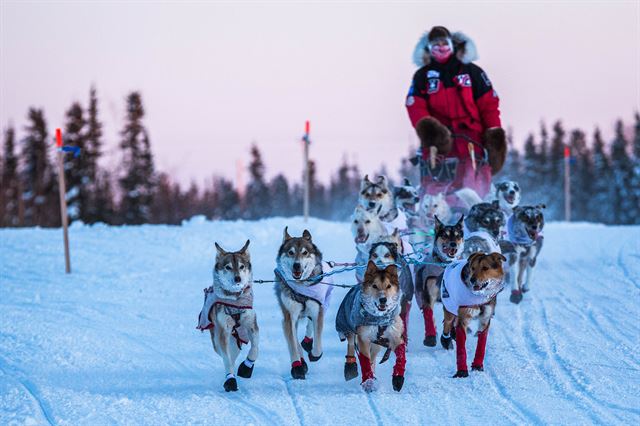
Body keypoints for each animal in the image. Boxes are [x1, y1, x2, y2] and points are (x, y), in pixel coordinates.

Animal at [276, 226, 336, 380]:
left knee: (310, 324)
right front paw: (297, 366)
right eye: (290, 252)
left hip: (323, 305)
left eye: (305, 252)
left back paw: (308, 342)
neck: (301, 285)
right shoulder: (289, 316)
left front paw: (314, 354)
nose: (297, 265)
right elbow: (293, 343)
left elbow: (318, 341)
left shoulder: (317, 310)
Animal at [336, 262, 404, 392]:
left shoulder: (395, 335)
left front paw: (398, 378)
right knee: (351, 344)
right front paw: (368, 382)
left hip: (377, 344)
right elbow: (365, 360)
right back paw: (350, 366)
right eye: (374, 286)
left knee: (373, 357)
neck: (379, 319)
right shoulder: (363, 337)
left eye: (388, 286)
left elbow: (401, 356)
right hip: (349, 327)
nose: (383, 299)